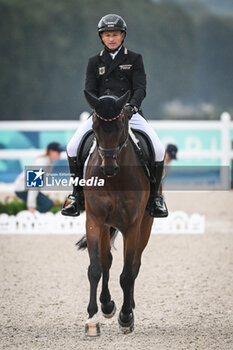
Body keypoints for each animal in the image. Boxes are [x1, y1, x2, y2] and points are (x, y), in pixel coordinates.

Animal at [79, 90, 154, 336]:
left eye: (121, 125)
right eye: (95, 127)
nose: (108, 168)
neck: (114, 180)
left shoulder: (132, 226)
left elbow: (127, 273)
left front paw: (126, 316)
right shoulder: (94, 221)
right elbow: (95, 268)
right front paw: (93, 318)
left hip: (145, 225)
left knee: (135, 265)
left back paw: (127, 308)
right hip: (106, 227)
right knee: (106, 261)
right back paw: (107, 304)